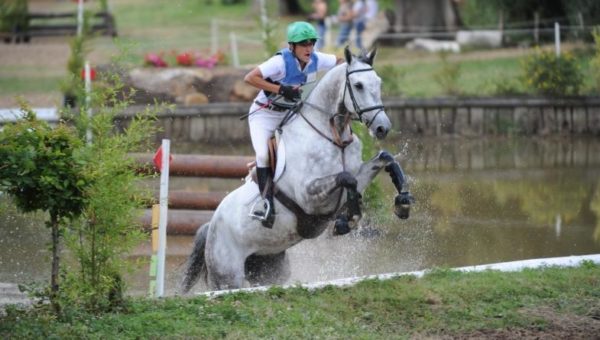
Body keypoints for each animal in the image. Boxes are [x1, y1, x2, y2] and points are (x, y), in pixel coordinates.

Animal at [179, 46, 412, 294]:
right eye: (358, 85)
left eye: (378, 83)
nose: (382, 128)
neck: (332, 134)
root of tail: (211, 226)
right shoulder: (309, 197)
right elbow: (346, 178)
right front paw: (347, 220)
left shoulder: (355, 175)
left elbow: (384, 159)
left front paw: (403, 202)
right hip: (227, 275)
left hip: (270, 267)